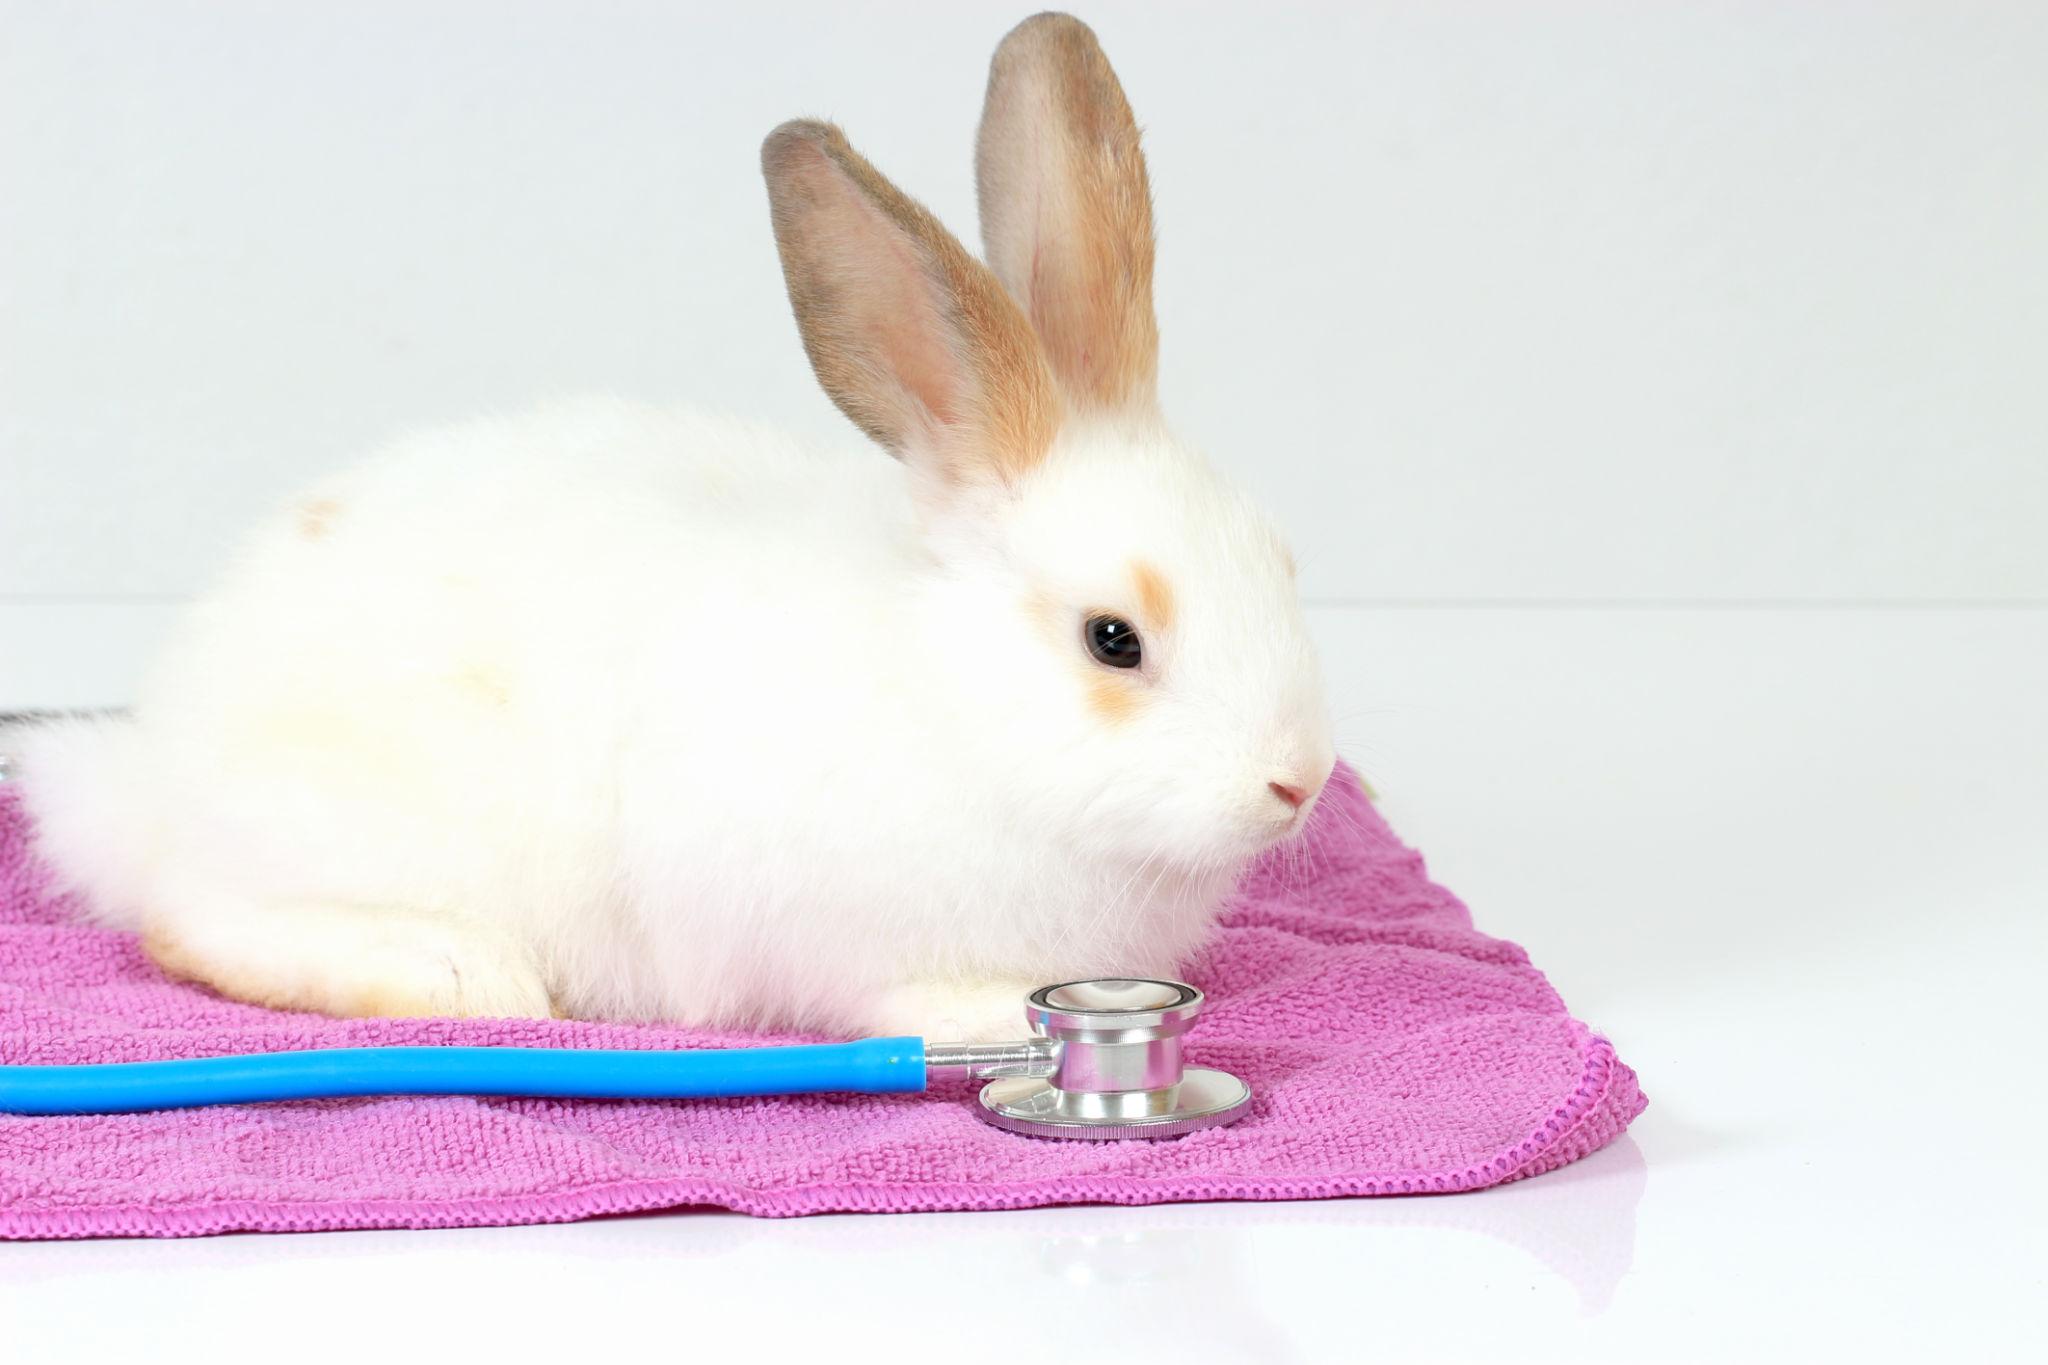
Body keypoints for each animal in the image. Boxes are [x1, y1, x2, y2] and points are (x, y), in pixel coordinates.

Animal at [8, 13, 1335, 1043]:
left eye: (1280, 563)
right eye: (1113, 639)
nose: (1298, 782)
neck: (953, 699)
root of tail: (144, 777)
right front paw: (977, 1015)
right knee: (189, 925)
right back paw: (459, 974)